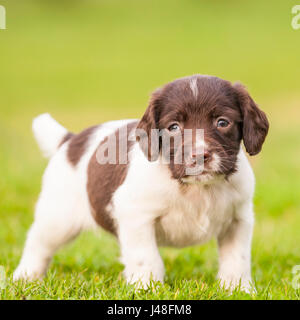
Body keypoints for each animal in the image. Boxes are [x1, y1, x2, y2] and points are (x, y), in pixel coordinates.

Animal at [12, 75, 268, 292]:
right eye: (173, 127)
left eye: (222, 122)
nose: (199, 156)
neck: (194, 188)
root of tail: (71, 140)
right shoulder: (135, 215)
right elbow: (146, 257)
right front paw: (147, 288)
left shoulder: (238, 219)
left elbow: (237, 259)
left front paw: (238, 289)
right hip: (58, 218)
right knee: (38, 244)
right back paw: (26, 277)